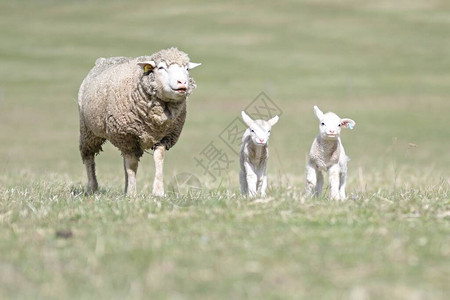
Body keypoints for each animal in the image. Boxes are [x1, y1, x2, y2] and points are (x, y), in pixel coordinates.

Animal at [78, 47, 201, 197]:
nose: (182, 83)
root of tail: (102, 60)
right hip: (88, 130)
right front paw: (132, 193)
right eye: (161, 67)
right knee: (89, 156)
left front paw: (158, 192)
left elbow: (158, 158)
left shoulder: (165, 137)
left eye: (187, 69)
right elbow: (132, 165)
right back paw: (92, 188)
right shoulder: (127, 135)